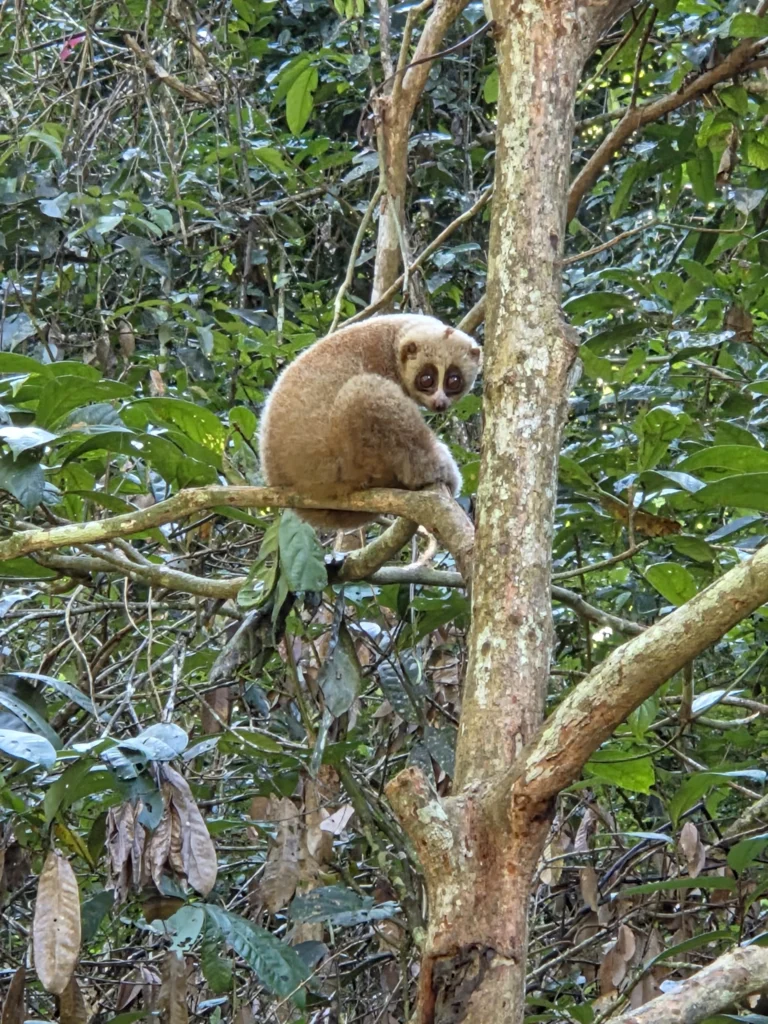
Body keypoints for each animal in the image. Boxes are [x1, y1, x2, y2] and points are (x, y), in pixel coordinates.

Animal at [258, 314, 482, 530]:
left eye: (454, 381)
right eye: (426, 379)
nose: (440, 403)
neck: (393, 344)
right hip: (338, 466)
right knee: (365, 391)